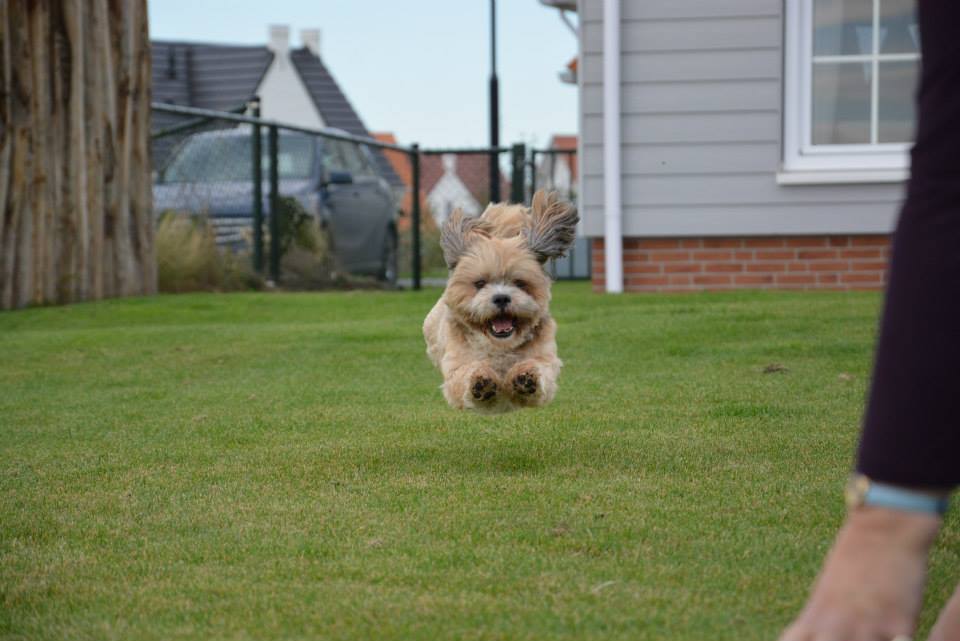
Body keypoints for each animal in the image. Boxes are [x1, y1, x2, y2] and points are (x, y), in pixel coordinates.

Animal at [426, 190, 576, 412]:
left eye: (520, 282)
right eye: (480, 283)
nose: (501, 297)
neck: (500, 346)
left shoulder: (545, 359)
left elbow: (539, 370)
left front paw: (526, 378)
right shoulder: (457, 365)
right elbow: (464, 374)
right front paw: (481, 381)